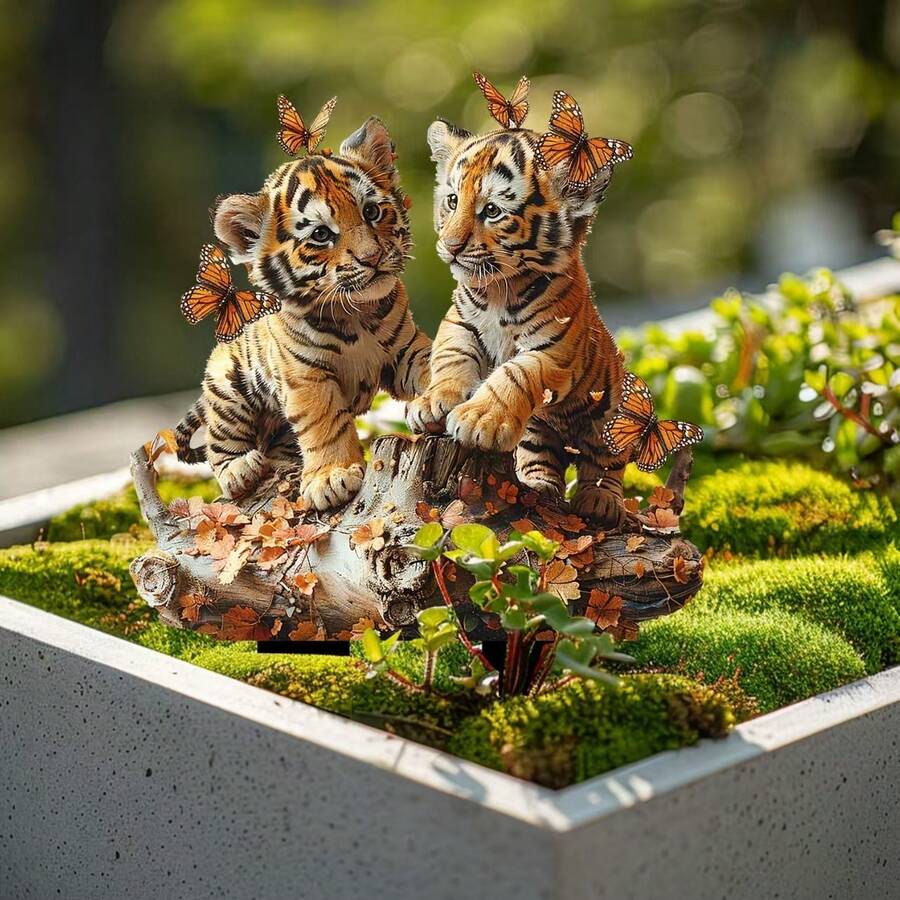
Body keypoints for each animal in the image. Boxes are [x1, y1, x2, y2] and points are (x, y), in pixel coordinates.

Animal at [174, 117, 431, 510]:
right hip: (227, 384)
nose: (371, 257)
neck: (357, 313)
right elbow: (323, 422)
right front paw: (332, 477)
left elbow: (437, 360)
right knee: (222, 444)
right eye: (322, 234)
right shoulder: (306, 376)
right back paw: (240, 470)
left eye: (371, 212)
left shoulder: (405, 349)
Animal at [406, 120, 631, 527]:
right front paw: (434, 402)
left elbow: (514, 374)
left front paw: (478, 420)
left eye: (492, 211)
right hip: (537, 432)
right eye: (452, 201)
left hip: (613, 419)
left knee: (603, 463)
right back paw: (540, 486)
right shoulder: (458, 322)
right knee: (542, 459)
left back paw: (600, 502)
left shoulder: (553, 351)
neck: (499, 290)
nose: (450, 246)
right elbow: (451, 358)